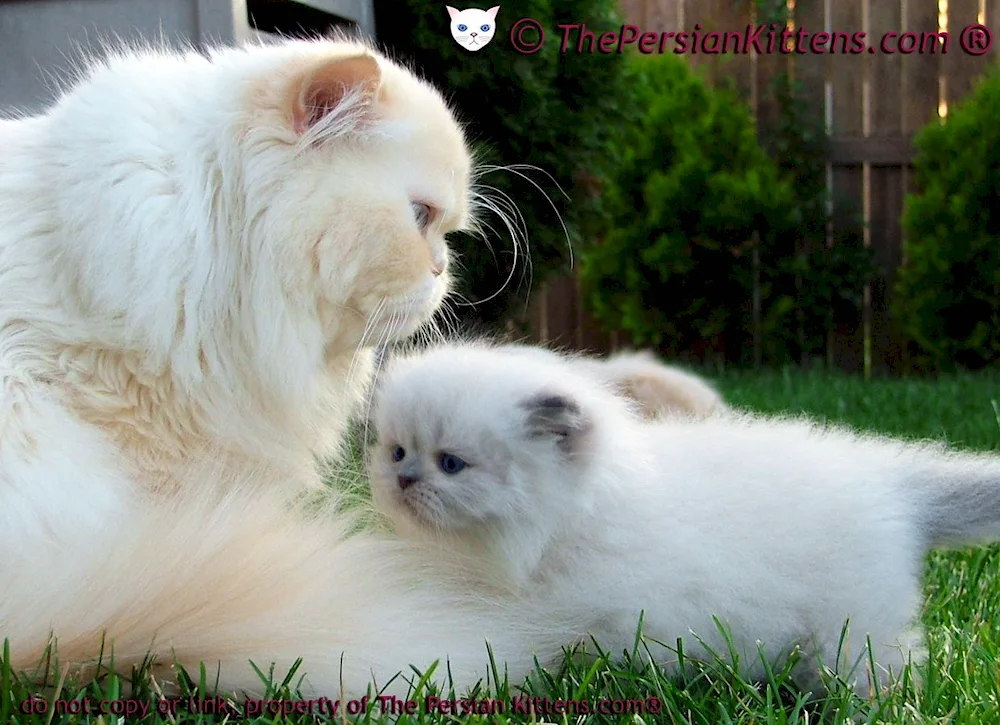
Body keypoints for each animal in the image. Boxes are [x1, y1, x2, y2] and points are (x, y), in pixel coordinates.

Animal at [372, 342, 1000, 700]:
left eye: (451, 464)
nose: (404, 479)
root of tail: (892, 481)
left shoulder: (560, 612)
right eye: (397, 450)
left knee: (880, 669)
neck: (566, 523)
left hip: (850, 629)